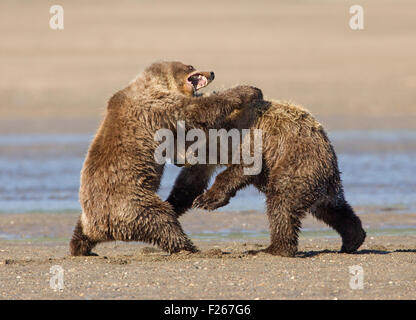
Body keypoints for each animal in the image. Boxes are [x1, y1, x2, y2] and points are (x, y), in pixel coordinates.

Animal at [69, 60, 262, 256]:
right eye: (190, 67)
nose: (212, 72)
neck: (155, 83)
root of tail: (104, 229)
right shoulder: (157, 106)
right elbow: (195, 110)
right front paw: (249, 90)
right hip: (131, 204)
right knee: (162, 220)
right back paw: (191, 248)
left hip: (89, 217)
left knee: (80, 229)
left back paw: (79, 247)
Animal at [167, 99, 366, 256]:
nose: (176, 161)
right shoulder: (209, 155)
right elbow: (191, 182)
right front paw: (173, 204)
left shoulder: (251, 138)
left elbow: (244, 167)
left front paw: (207, 199)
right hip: (324, 186)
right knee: (332, 209)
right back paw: (353, 238)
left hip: (297, 165)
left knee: (281, 202)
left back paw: (273, 248)